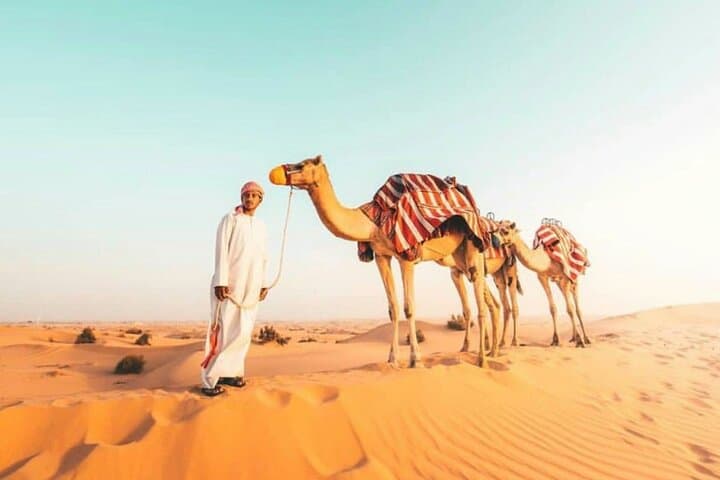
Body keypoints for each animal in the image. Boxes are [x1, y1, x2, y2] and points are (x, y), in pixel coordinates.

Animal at [268, 155, 501, 367]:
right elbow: (393, 308)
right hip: (457, 256)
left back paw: (482, 359)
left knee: (480, 297)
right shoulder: (381, 256)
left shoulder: (406, 255)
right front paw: (392, 359)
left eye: (302, 165)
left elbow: (409, 307)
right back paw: (478, 351)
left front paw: (415, 360)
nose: (275, 172)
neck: (373, 221)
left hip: (473, 245)